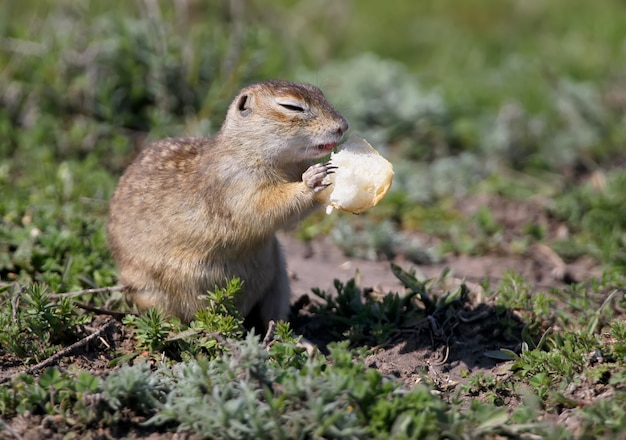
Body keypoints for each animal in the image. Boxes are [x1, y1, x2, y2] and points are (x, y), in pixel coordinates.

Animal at [106, 79, 346, 326]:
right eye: (291, 106)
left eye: (318, 91)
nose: (343, 126)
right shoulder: (236, 183)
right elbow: (265, 207)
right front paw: (313, 179)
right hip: (152, 293)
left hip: (279, 277)